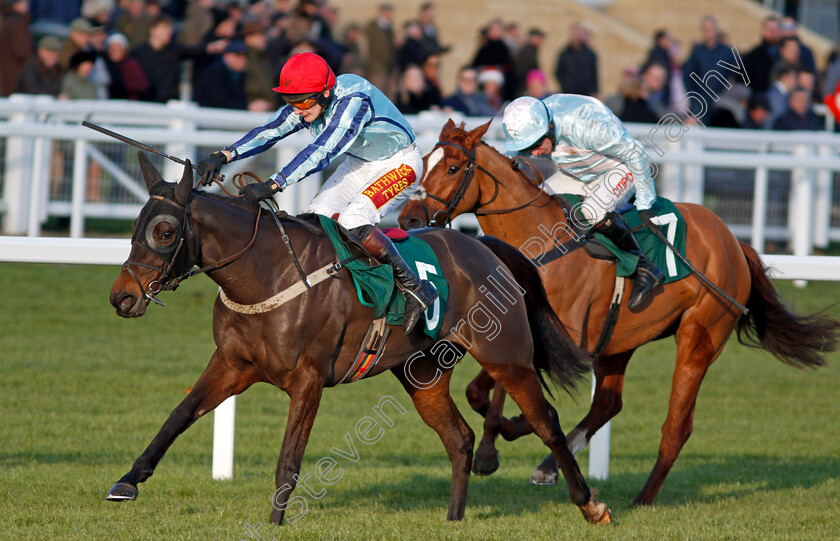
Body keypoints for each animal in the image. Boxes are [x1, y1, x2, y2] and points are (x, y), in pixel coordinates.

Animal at [108, 151, 612, 524]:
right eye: (133, 228)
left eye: (165, 231)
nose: (121, 297)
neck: (269, 271)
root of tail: (485, 248)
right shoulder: (232, 364)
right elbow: (178, 416)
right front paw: (127, 481)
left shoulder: (308, 379)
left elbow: (288, 460)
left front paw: (274, 524)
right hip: (423, 373)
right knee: (459, 438)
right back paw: (453, 519)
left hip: (506, 356)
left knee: (547, 423)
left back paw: (590, 504)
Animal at [396, 120, 840, 504]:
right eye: (427, 161)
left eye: (453, 167)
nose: (409, 218)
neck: (538, 246)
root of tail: (733, 239)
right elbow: (479, 392)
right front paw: (511, 431)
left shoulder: (557, 337)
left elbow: (497, 391)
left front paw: (496, 445)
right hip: (619, 340)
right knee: (608, 404)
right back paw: (550, 466)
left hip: (699, 336)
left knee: (677, 426)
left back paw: (643, 497)